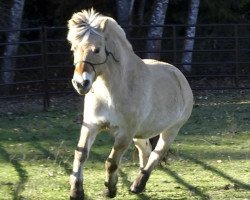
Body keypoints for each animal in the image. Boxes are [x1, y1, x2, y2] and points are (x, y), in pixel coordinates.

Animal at [67, 8, 193, 199]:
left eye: (96, 49)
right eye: (74, 48)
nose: (81, 83)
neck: (111, 93)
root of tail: (179, 76)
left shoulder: (125, 133)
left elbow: (111, 162)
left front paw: (110, 189)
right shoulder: (91, 125)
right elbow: (81, 154)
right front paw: (76, 191)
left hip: (170, 131)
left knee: (156, 155)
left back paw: (138, 185)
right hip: (140, 134)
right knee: (146, 152)